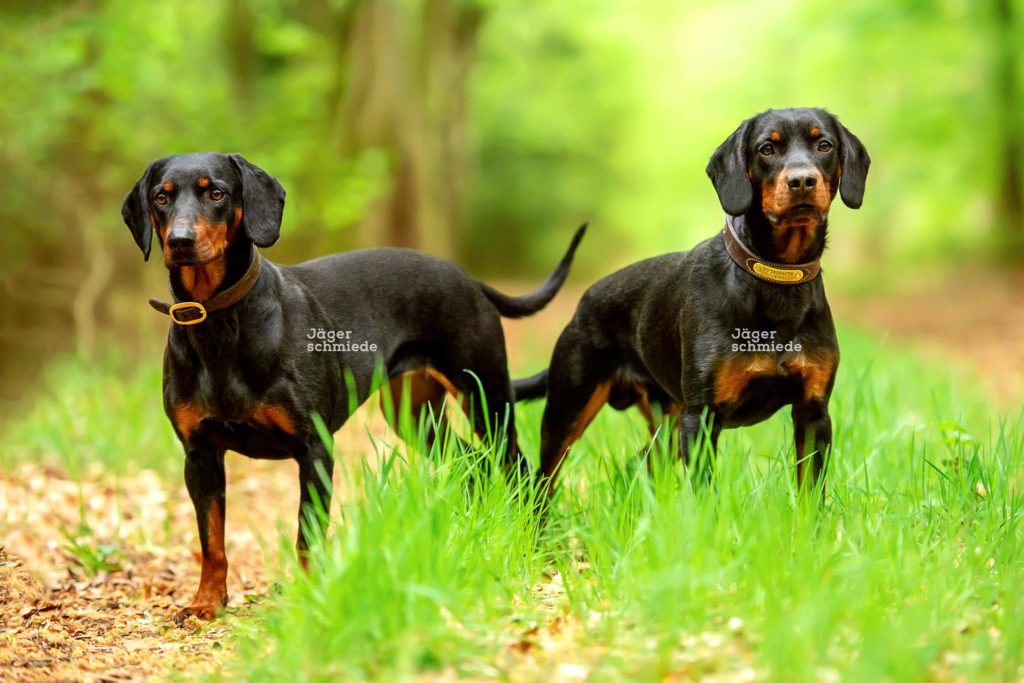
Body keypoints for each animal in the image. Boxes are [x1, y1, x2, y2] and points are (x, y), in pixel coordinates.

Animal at [119, 152, 585, 622]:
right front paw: (207, 602)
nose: (179, 241)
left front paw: (309, 597)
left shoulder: (314, 449)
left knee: (520, 470)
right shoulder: (200, 455)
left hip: (487, 399)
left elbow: (307, 535)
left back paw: (534, 541)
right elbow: (211, 542)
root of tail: (468, 279)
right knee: (472, 463)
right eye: (161, 197)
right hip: (415, 418)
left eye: (216, 192)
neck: (221, 325)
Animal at [528, 108, 872, 497]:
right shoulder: (702, 415)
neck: (775, 281)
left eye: (824, 145)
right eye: (767, 148)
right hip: (568, 409)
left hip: (666, 421)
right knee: (542, 482)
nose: (802, 180)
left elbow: (810, 493)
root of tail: (582, 303)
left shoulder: (813, 411)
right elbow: (704, 492)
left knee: (640, 464)